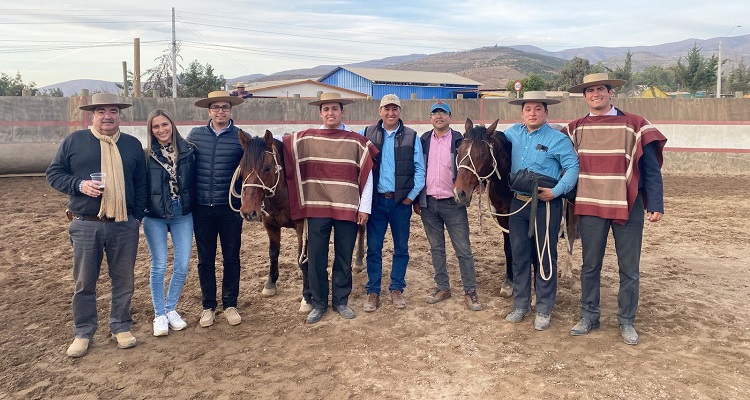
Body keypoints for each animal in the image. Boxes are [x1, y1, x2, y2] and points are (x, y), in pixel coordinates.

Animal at [235, 130, 364, 310]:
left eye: (267, 168)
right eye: (242, 167)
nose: (248, 212)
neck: (284, 192)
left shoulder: (302, 226)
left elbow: (303, 261)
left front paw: (307, 298)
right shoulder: (270, 225)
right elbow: (273, 253)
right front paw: (270, 284)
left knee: (361, 229)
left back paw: (358, 261)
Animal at [452, 117, 516, 296]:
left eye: (481, 154)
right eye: (458, 151)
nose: (460, 193)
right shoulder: (503, 216)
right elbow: (509, 248)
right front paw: (509, 282)